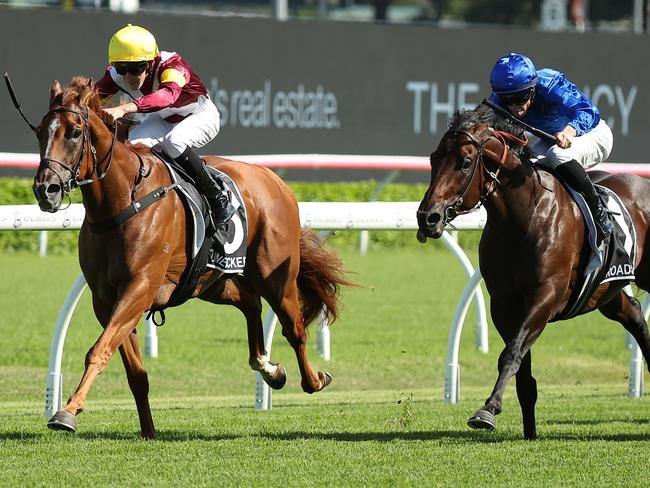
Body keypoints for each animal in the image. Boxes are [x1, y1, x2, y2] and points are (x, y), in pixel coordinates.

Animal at [31, 77, 350, 438]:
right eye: (40, 130)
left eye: (74, 132)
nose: (45, 190)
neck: (124, 201)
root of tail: (274, 179)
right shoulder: (105, 300)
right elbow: (134, 372)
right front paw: (149, 431)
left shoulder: (139, 288)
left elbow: (98, 351)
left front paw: (67, 411)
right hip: (211, 281)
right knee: (250, 303)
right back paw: (269, 368)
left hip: (275, 274)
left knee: (294, 328)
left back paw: (314, 380)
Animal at [416, 105, 648, 440]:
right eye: (434, 158)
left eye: (465, 162)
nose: (427, 218)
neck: (523, 217)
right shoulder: (503, 304)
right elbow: (521, 366)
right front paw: (528, 430)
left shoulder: (545, 296)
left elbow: (511, 353)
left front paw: (487, 410)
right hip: (606, 292)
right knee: (635, 316)